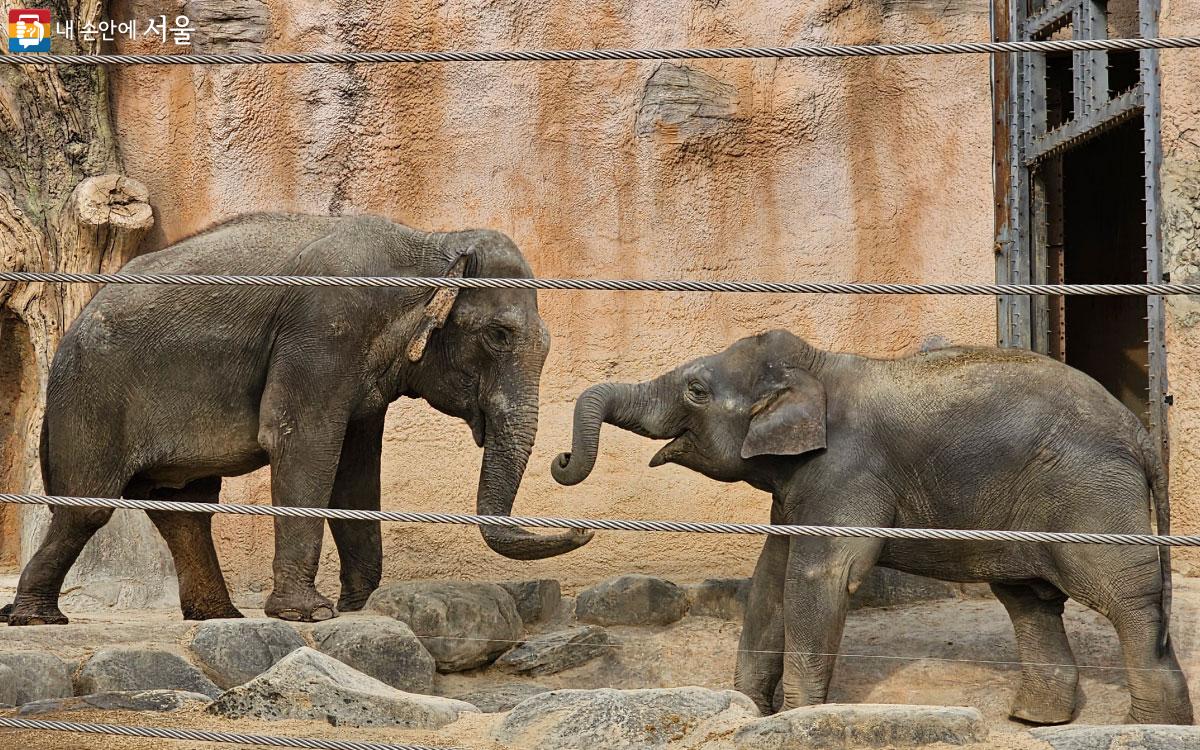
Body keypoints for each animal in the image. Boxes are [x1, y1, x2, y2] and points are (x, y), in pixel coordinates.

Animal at [2, 212, 592, 624]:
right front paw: (309, 615)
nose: (582, 526)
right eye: (499, 335)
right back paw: (39, 618)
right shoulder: (323, 327)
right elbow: (304, 443)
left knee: (186, 508)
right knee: (88, 508)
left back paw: (217, 617)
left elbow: (355, 470)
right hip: (90, 395)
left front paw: (361, 606)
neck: (429, 243)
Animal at [549, 328, 1190, 724]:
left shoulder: (846, 470)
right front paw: (747, 711)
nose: (560, 459)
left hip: (1089, 493)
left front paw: (797, 717)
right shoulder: (799, 483)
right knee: (1029, 598)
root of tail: (1139, 433)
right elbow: (770, 577)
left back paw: (1149, 724)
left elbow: (818, 578)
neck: (817, 368)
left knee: (1122, 597)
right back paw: (1035, 719)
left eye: (697, 391)